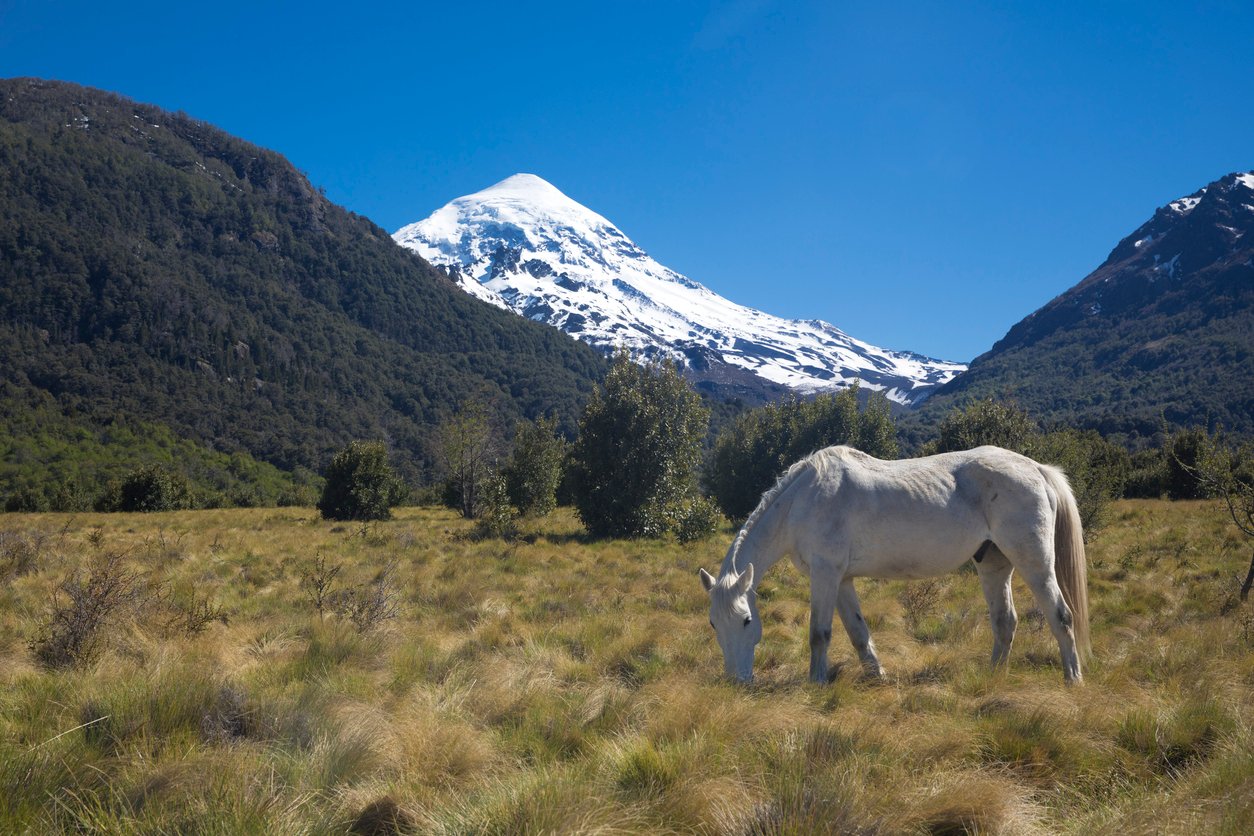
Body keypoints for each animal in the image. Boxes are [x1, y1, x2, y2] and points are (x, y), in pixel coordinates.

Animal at [697, 448, 1088, 681]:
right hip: (994, 564)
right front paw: (877, 676)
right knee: (1005, 622)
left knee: (1061, 616)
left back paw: (1073, 678)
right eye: (714, 623)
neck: (803, 500)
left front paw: (816, 682)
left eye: (747, 621)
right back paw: (993, 678)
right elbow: (857, 632)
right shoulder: (841, 580)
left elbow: (819, 634)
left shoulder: (825, 575)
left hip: (1035, 562)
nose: (737, 682)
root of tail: (1037, 468)